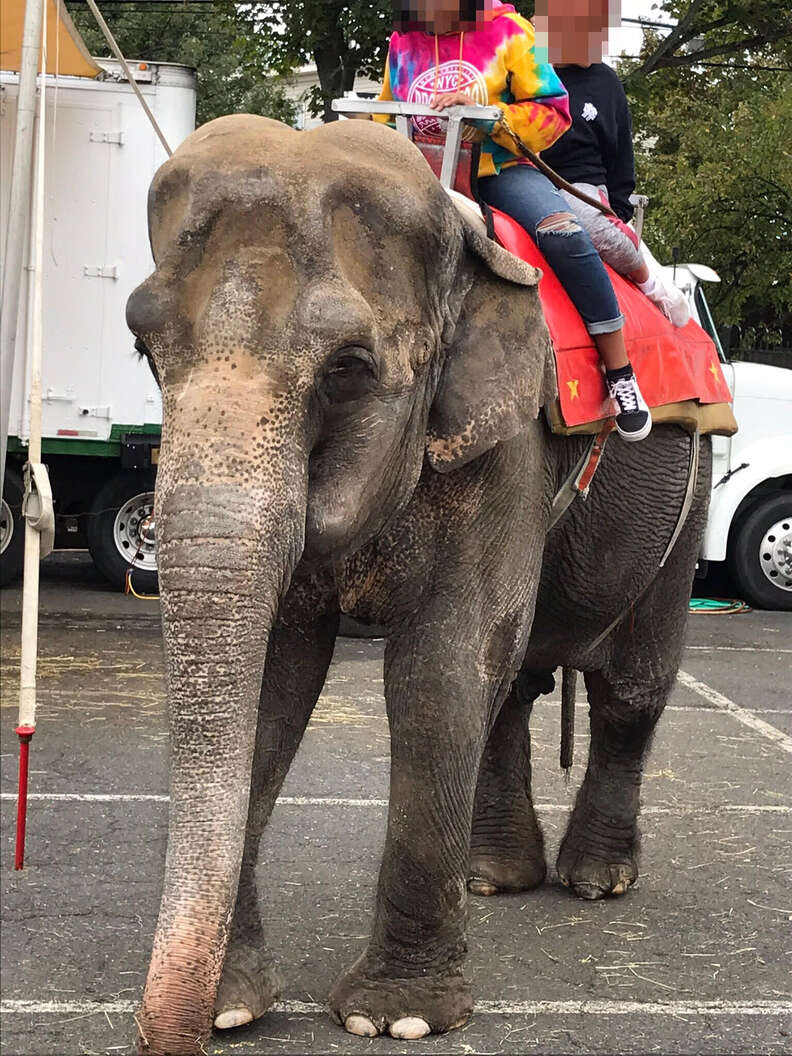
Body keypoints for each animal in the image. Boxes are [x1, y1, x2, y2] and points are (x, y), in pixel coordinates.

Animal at [126, 113, 711, 1055]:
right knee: (514, 685)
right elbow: (277, 679)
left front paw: (395, 1017)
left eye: (347, 367)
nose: (162, 1033)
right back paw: (495, 877)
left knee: (627, 684)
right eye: (144, 348)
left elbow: (439, 670)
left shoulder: (509, 442)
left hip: (689, 489)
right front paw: (233, 1008)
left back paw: (595, 881)